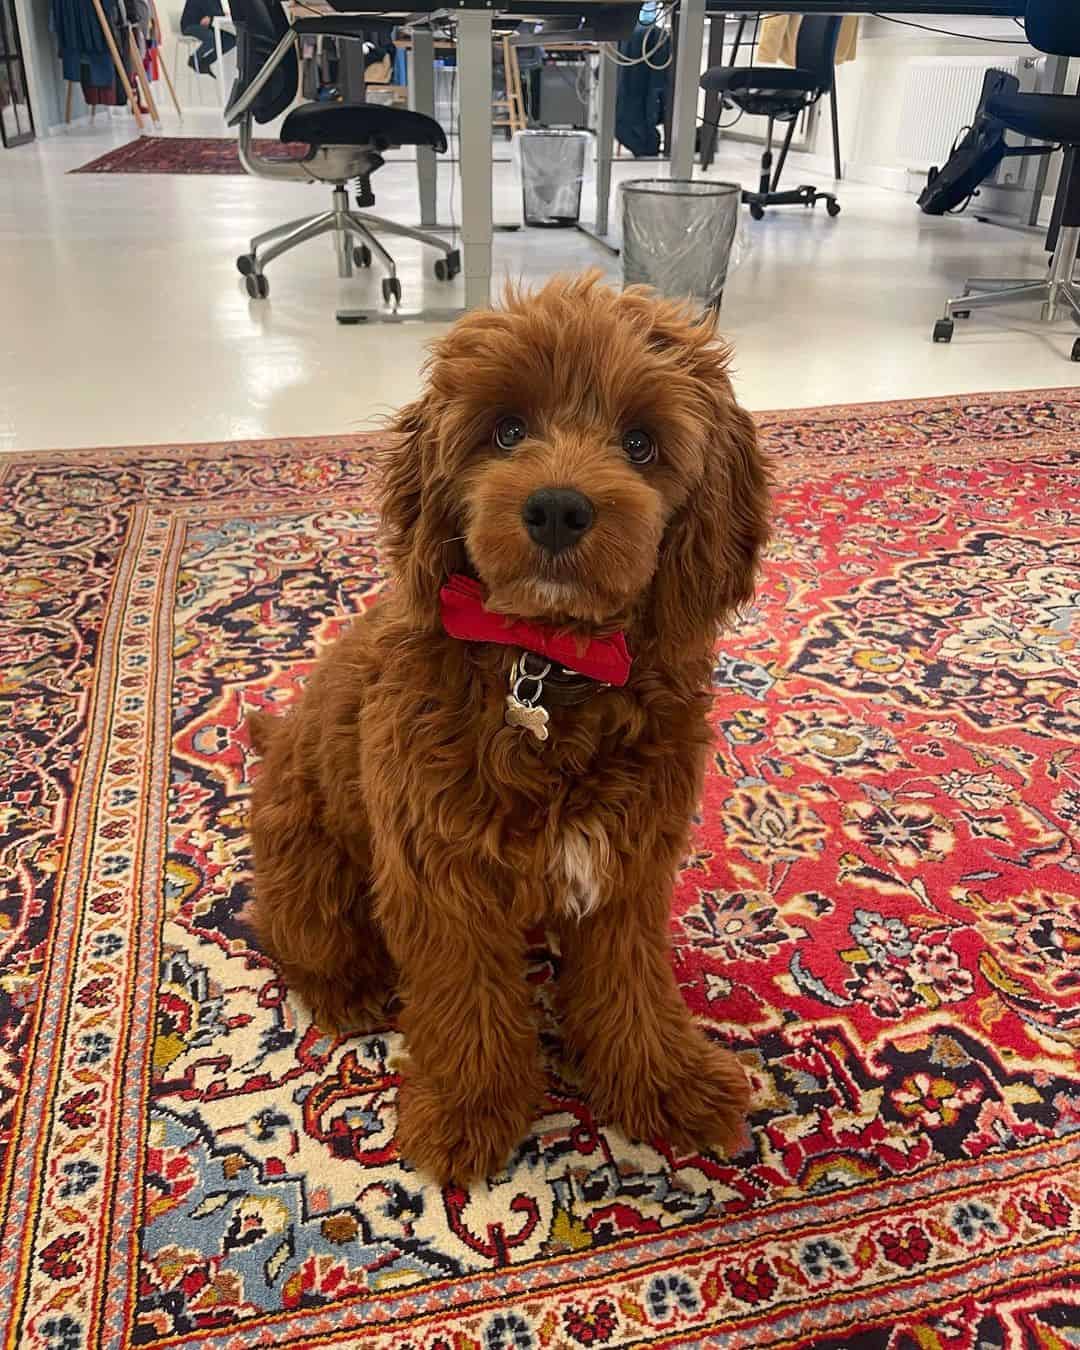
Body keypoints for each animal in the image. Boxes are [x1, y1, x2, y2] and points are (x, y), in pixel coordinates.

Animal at [247, 271, 766, 1182]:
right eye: (508, 429)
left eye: (640, 442)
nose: (558, 508)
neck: (547, 669)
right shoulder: (440, 875)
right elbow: (469, 1004)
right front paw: (469, 1111)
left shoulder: (626, 868)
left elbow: (631, 988)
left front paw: (663, 1084)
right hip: (309, 864)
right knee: (295, 936)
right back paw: (351, 987)